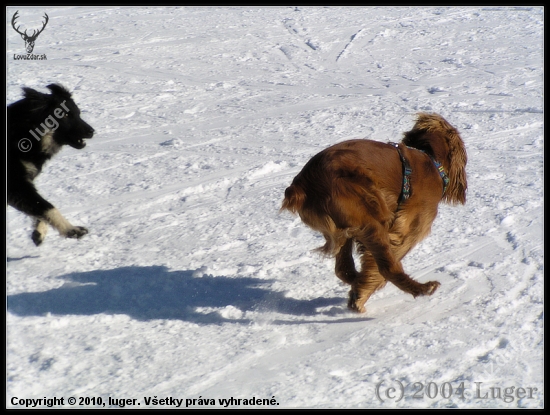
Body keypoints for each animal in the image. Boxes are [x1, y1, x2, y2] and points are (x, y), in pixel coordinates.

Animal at [7, 85, 95, 247]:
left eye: (78, 113)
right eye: (64, 115)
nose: (92, 131)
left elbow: (39, 208)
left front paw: (39, 232)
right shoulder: (16, 184)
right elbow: (47, 206)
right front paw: (72, 230)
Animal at [282, 112, 468, 314]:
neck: (429, 157)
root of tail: (302, 186)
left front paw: (361, 290)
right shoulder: (408, 230)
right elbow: (382, 263)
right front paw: (363, 292)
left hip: (346, 227)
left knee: (343, 268)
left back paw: (357, 283)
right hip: (370, 218)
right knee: (388, 267)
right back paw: (422, 288)